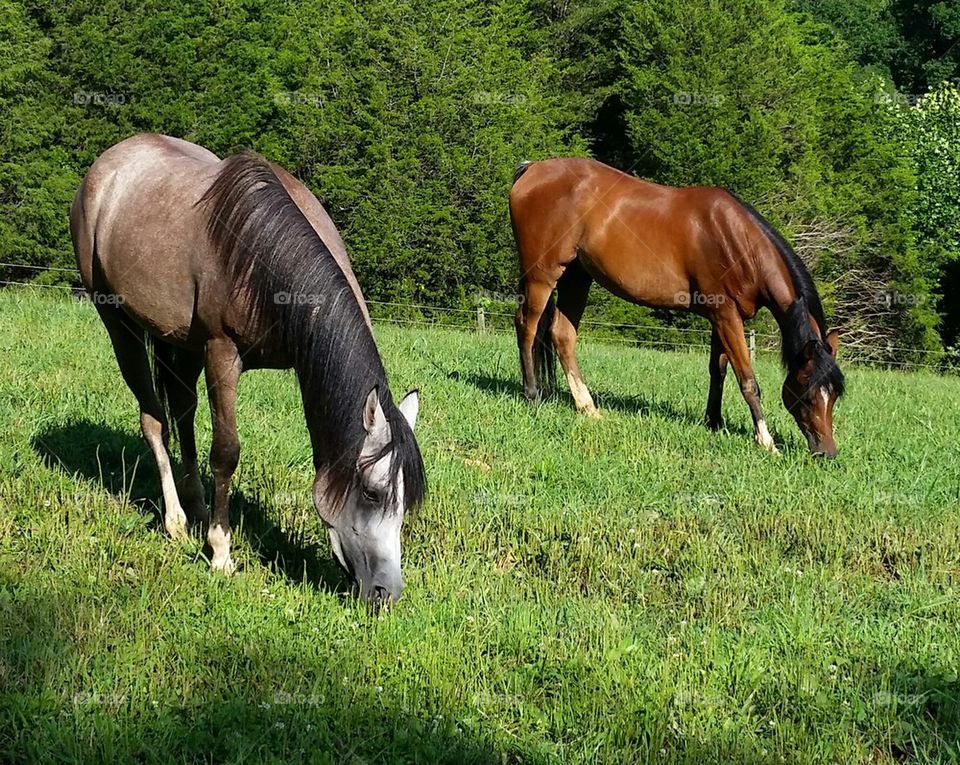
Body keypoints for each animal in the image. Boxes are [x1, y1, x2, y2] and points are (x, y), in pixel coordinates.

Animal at [69, 134, 426, 604]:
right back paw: (176, 521)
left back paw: (197, 504)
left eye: (407, 502)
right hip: (118, 324)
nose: (388, 592)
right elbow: (226, 452)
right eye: (371, 491)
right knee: (155, 420)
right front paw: (220, 552)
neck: (262, 255)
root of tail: (105, 167)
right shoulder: (222, 352)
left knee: (182, 410)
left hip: (178, 341)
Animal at [506, 155, 844, 454]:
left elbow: (718, 371)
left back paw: (588, 408)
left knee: (562, 336)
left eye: (835, 395)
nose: (826, 452)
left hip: (577, 277)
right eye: (808, 393)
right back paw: (532, 395)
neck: (738, 242)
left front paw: (713, 422)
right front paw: (766, 441)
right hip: (542, 274)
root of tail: (532, 169)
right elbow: (748, 380)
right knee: (527, 326)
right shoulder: (727, 316)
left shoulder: (719, 316)